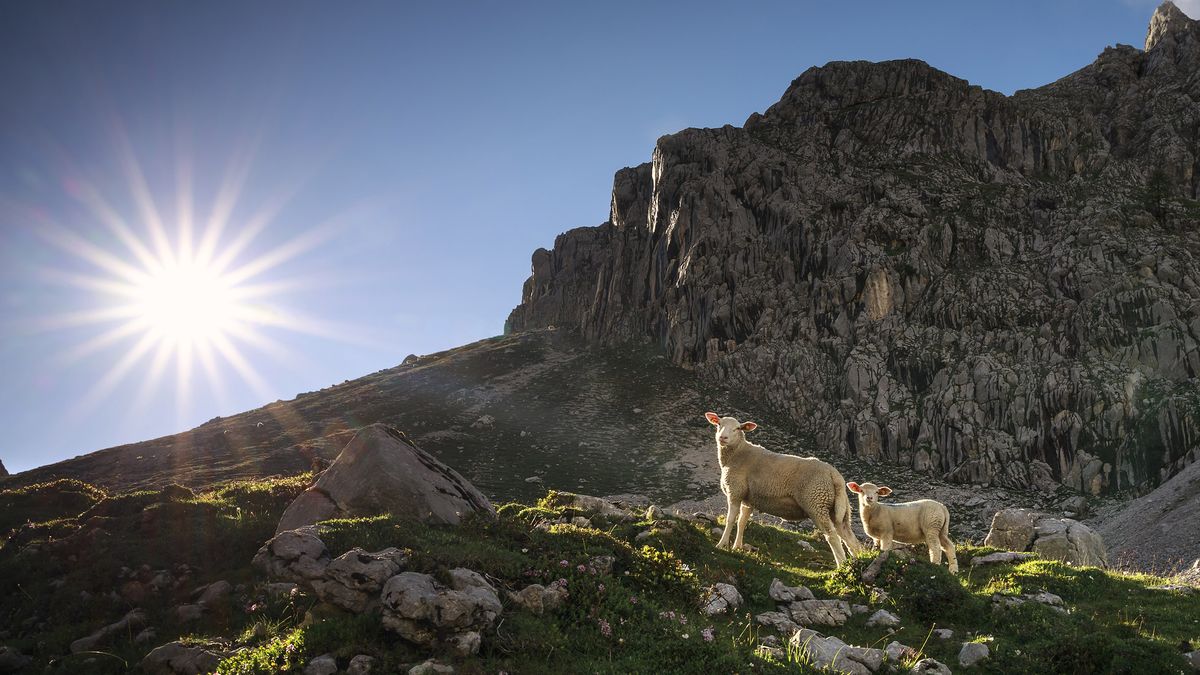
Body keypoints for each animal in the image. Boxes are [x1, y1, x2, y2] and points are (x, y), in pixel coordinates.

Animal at [700, 410, 864, 562]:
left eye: (737, 429)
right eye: (719, 424)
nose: (723, 438)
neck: (737, 454)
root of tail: (835, 474)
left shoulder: (735, 491)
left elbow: (730, 520)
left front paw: (721, 545)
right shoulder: (749, 499)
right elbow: (742, 522)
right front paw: (737, 547)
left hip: (816, 503)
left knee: (833, 537)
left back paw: (841, 565)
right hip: (838, 509)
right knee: (850, 539)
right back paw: (856, 562)